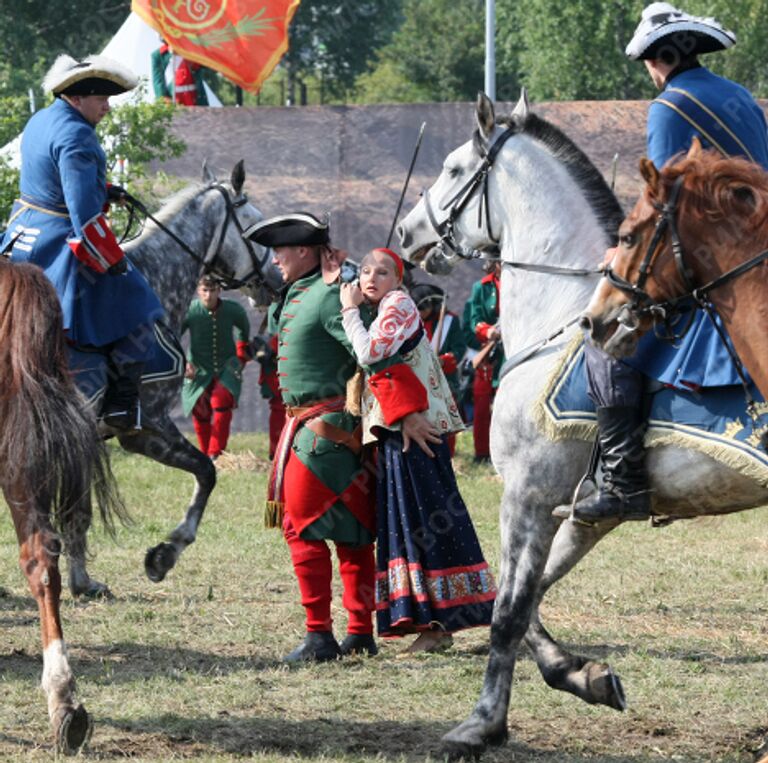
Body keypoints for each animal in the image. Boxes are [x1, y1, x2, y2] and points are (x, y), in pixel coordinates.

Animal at [69, 161, 282, 600]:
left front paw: (81, 579)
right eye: (254, 226)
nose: (276, 277)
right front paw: (165, 554)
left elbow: (77, 510)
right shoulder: (146, 427)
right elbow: (207, 471)